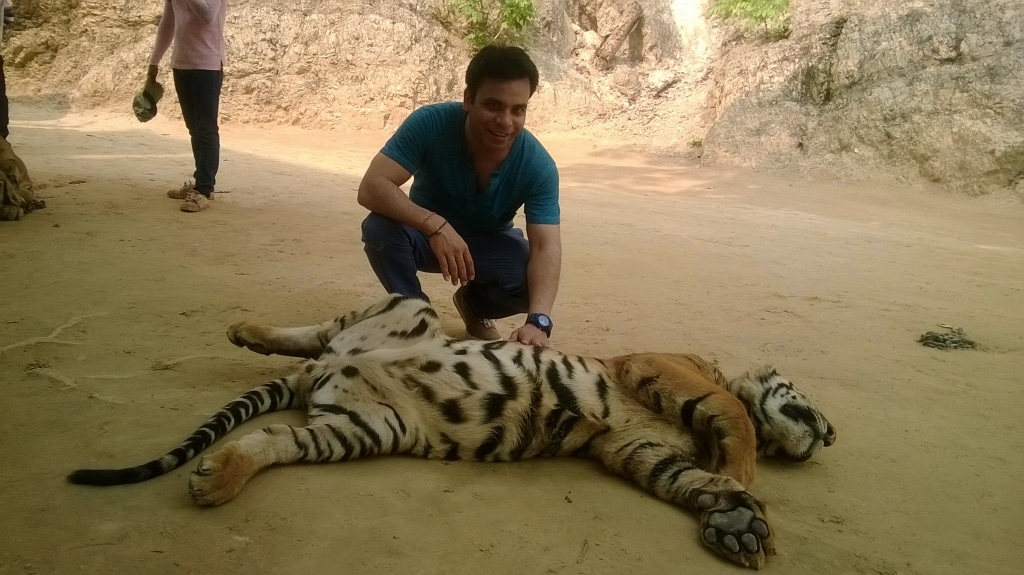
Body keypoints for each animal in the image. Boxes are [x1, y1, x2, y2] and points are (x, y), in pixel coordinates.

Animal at [70, 294, 831, 568]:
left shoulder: (631, 448)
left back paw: (216, 479)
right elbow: (736, 417)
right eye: (811, 403)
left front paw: (737, 523)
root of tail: (324, 371)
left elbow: (685, 476)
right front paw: (743, 477)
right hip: (405, 305)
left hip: (360, 428)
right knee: (312, 330)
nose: (830, 434)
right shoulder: (661, 366)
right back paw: (244, 328)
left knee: (273, 438)